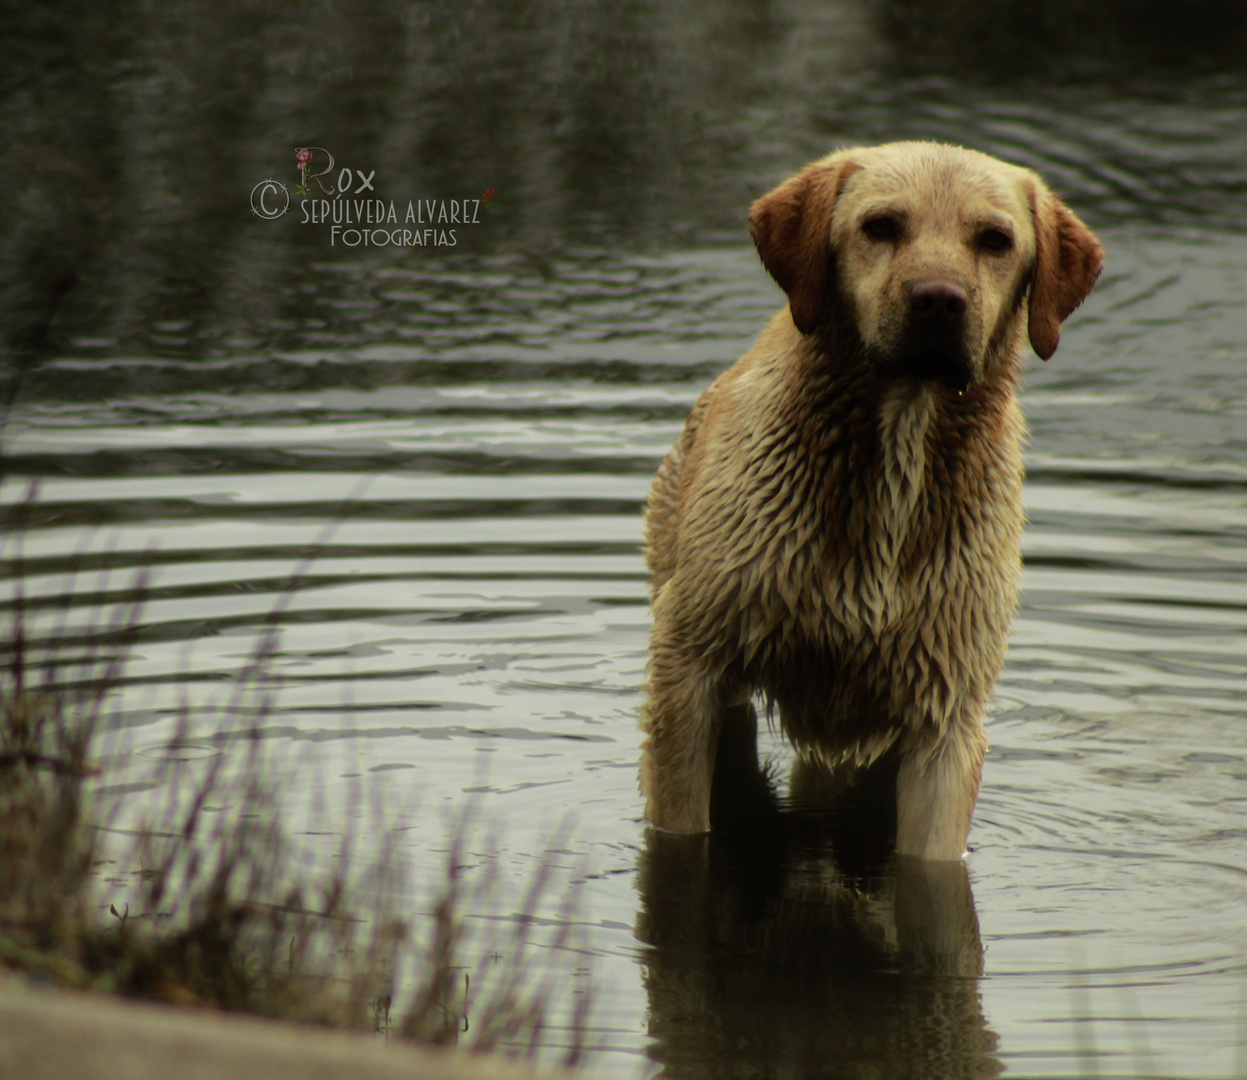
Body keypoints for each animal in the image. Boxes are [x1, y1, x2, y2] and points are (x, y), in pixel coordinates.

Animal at [643, 139, 1102, 858]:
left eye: (995, 240)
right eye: (881, 226)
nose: (938, 300)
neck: (899, 443)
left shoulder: (945, 714)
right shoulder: (689, 663)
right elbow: (681, 825)